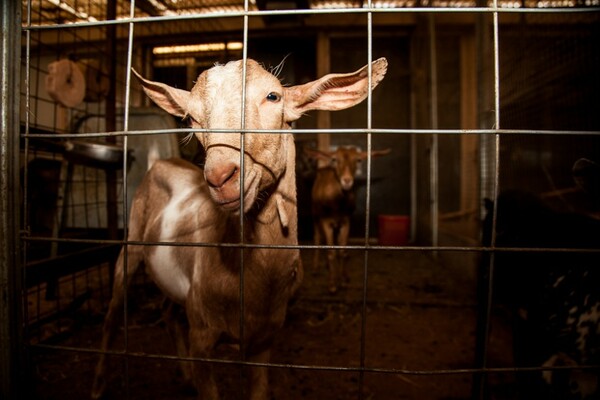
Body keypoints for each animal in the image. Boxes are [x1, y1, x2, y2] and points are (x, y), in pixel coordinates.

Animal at [308, 145, 392, 292]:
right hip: (315, 214)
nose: (347, 180)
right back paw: (315, 268)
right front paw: (332, 284)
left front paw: (342, 280)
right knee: (317, 237)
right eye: (335, 159)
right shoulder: (325, 221)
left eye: (358, 160)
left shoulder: (346, 221)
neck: (337, 205)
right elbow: (331, 252)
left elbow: (343, 251)